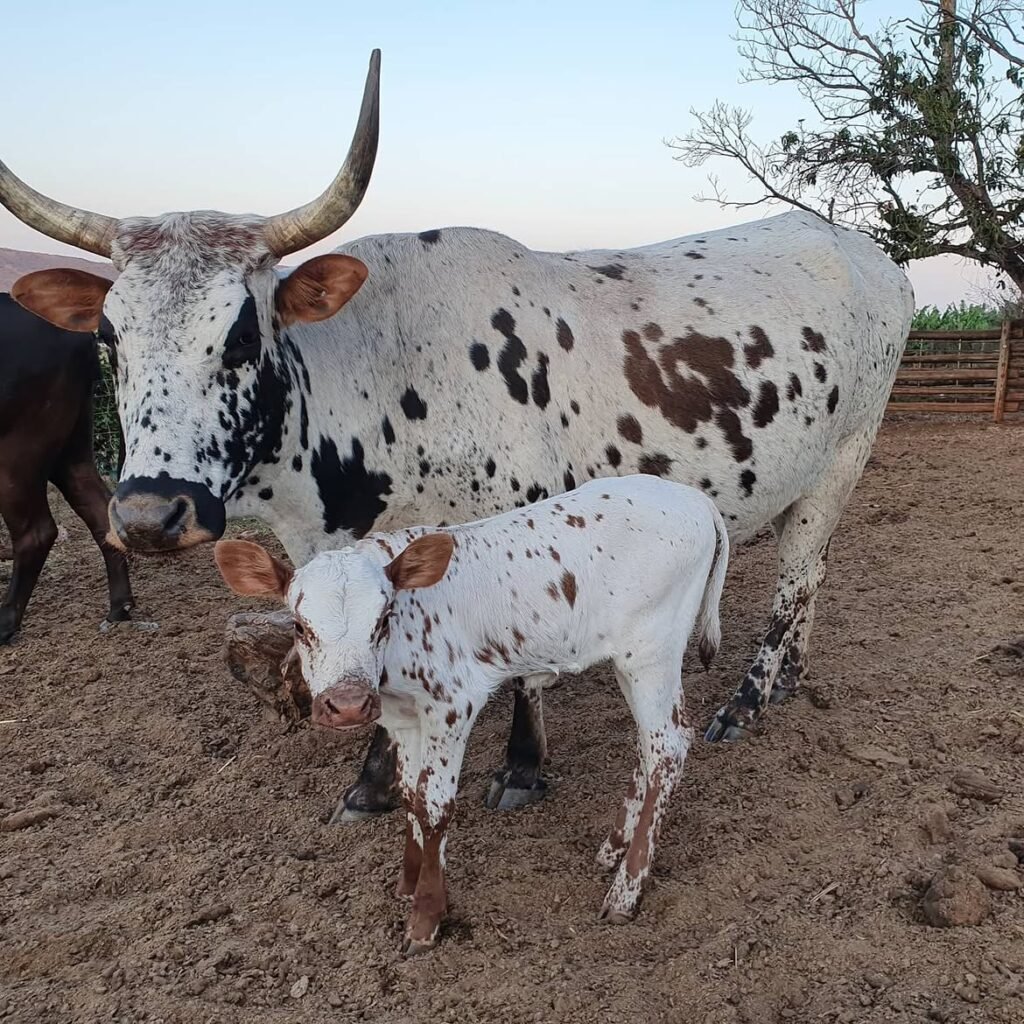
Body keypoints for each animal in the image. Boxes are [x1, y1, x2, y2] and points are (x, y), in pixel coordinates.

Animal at [0, 292, 134, 643]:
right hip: (69, 446)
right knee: (99, 508)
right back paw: (120, 607)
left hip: (18, 448)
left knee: (37, 532)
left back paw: (5, 621)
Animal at [214, 475, 729, 953]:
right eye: (300, 626)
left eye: (382, 619)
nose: (347, 704)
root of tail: (695, 498)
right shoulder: (401, 716)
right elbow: (409, 794)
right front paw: (408, 882)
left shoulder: (453, 704)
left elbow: (435, 803)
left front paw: (426, 916)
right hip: (631, 661)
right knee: (649, 745)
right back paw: (613, 848)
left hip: (653, 653)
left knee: (668, 747)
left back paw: (626, 890)